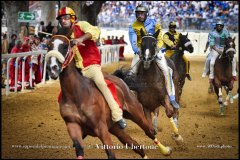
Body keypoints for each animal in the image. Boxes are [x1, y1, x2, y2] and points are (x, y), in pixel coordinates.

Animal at [45, 27, 172, 159]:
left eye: (65, 46)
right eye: (48, 45)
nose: (52, 68)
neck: (76, 95)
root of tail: (120, 81)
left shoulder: (101, 128)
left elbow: (111, 154)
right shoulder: (73, 125)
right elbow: (79, 150)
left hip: (136, 113)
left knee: (149, 132)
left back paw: (165, 150)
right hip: (115, 127)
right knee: (135, 145)